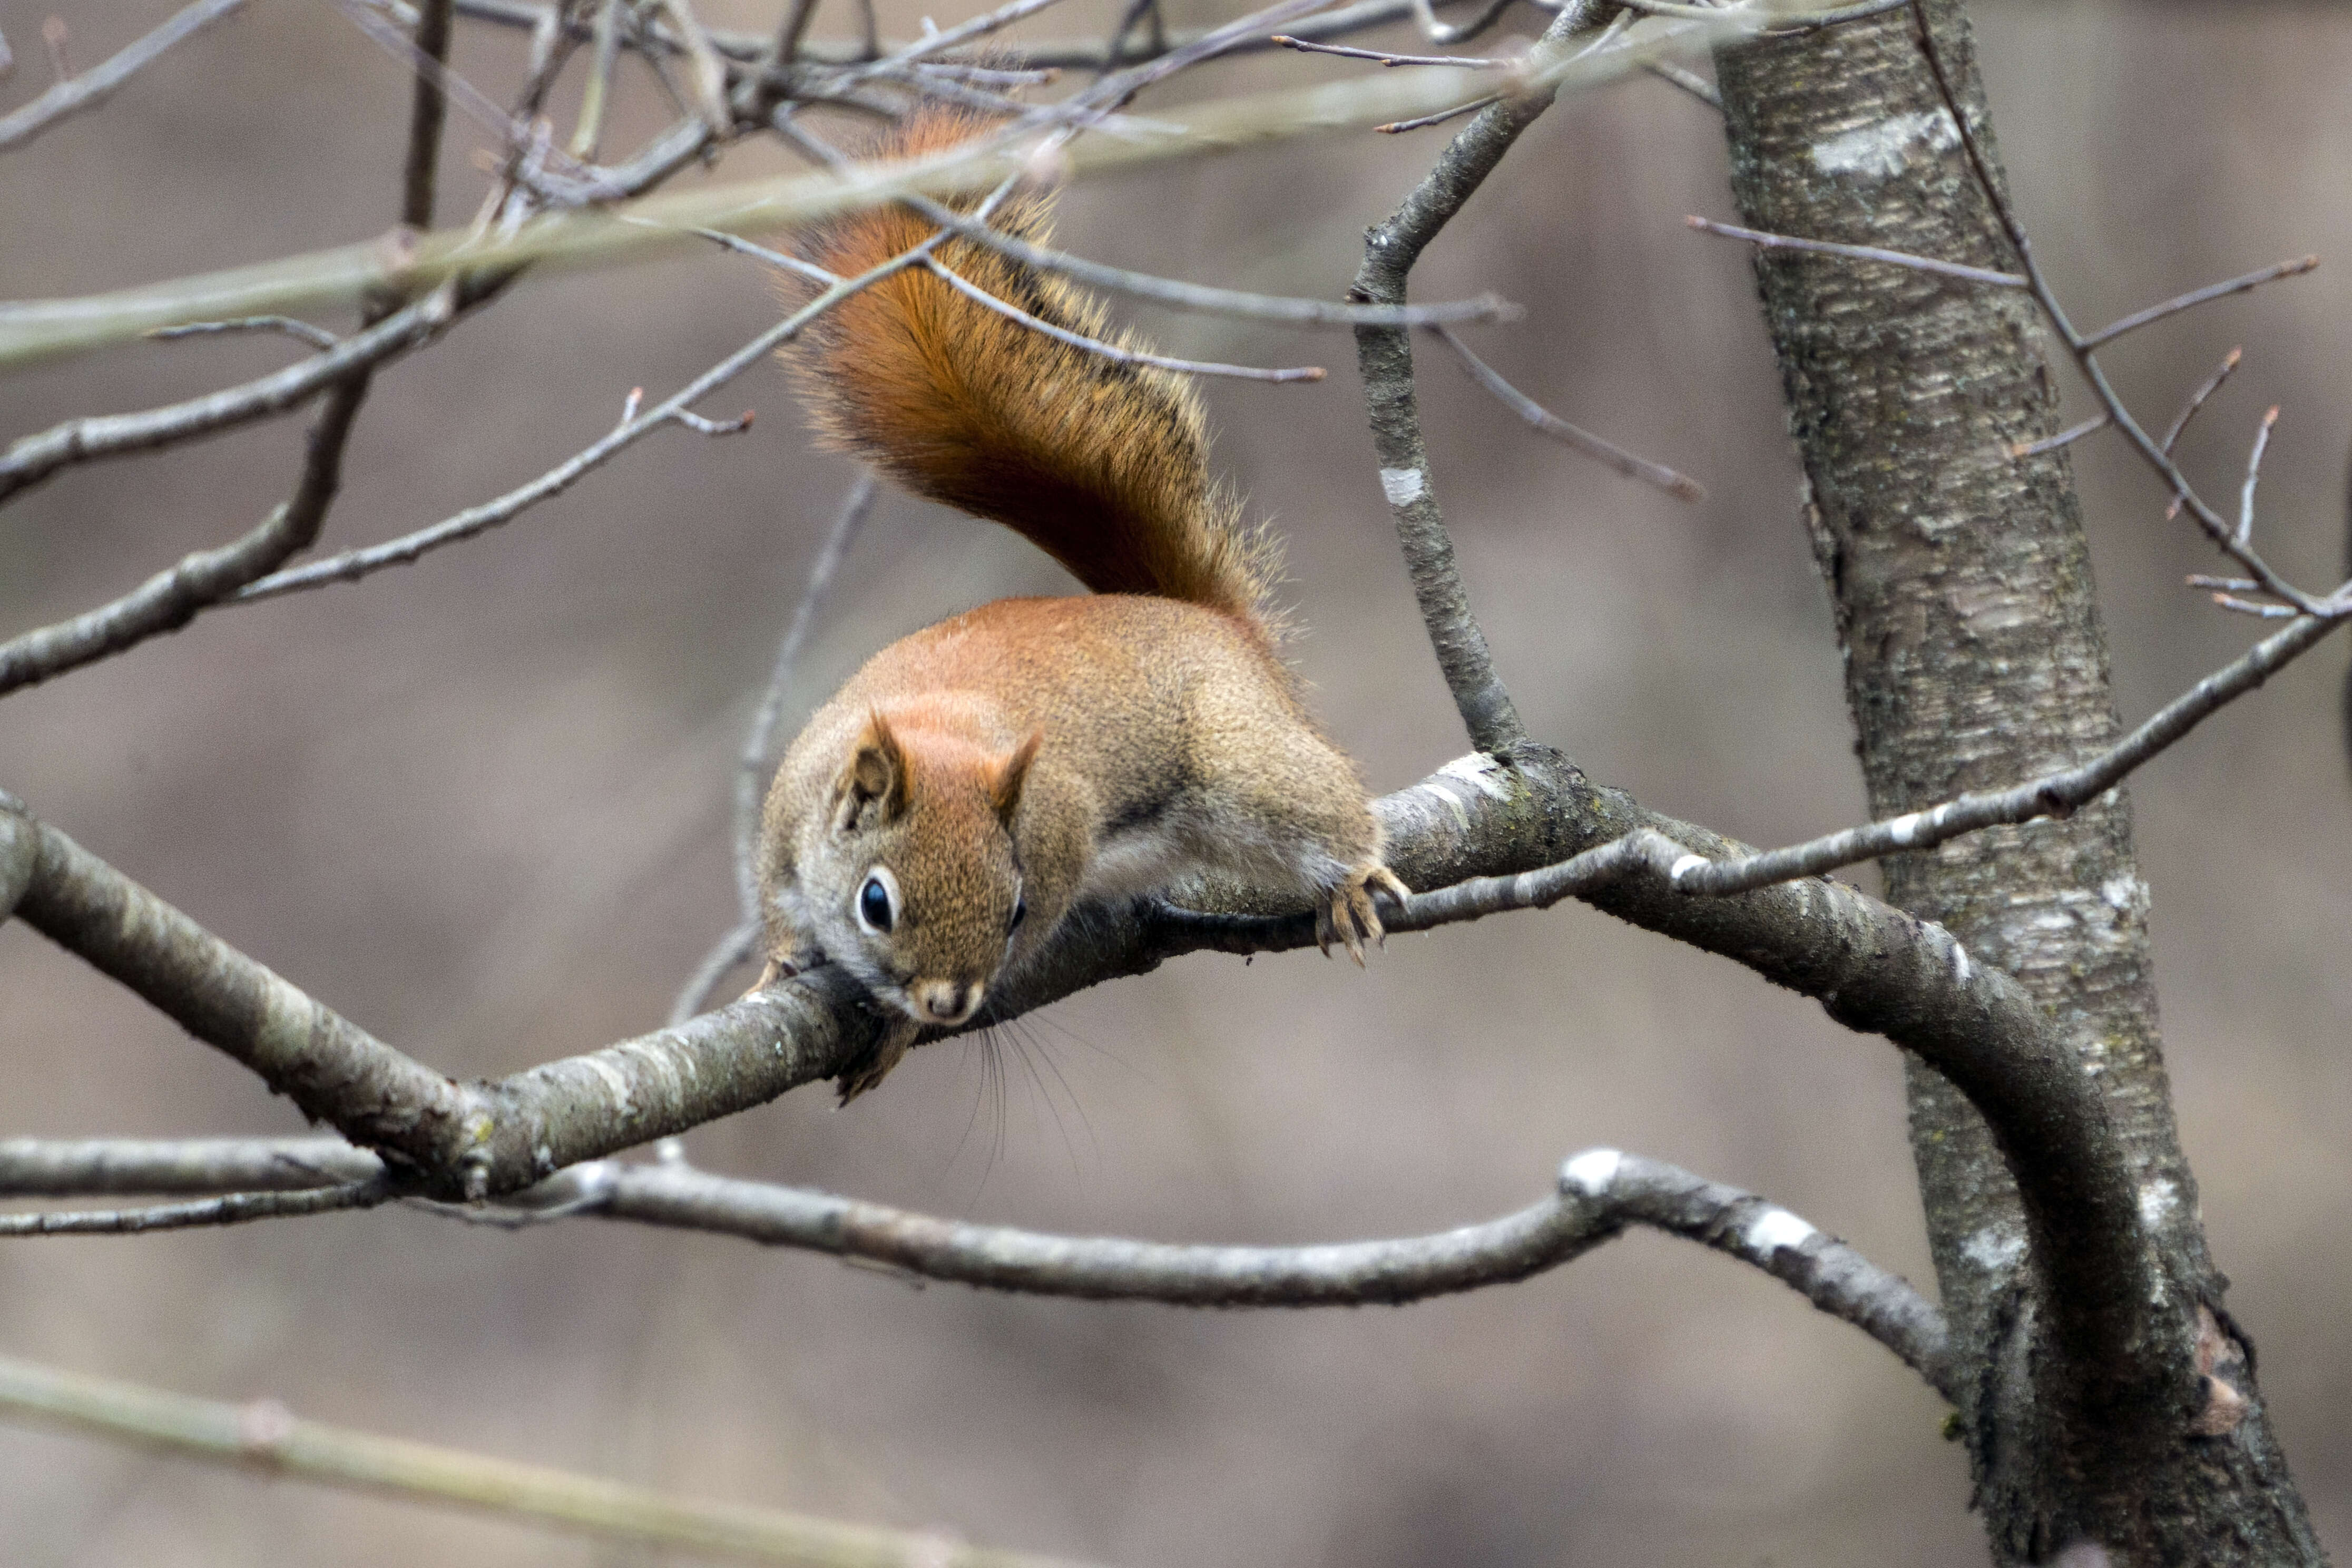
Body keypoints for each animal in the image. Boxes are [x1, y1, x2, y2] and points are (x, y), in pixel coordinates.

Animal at [762, 110, 1402, 1100]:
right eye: (876, 901)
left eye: (1017, 907)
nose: (948, 1000)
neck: (935, 730)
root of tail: (1206, 619)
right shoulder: (784, 828)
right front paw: (783, 960)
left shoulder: (1058, 840)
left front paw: (902, 1030)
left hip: (1248, 763)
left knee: (1326, 813)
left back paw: (1353, 877)